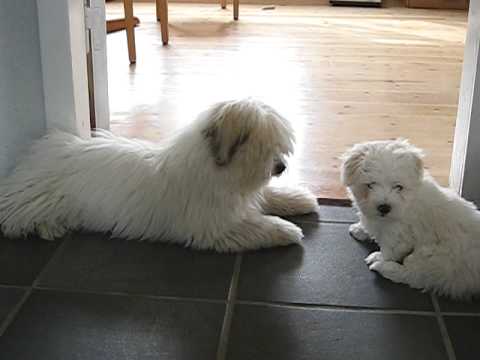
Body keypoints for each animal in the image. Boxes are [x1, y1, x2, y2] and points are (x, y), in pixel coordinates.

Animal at [0, 97, 318, 252]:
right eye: (261, 146)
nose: (281, 167)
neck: (215, 169)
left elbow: (271, 196)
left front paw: (301, 199)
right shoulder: (216, 227)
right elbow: (257, 227)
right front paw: (287, 230)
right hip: (35, 201)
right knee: (12, 220)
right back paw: (48, 227)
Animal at [342, 139, 480, 300]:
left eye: (398, 187)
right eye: (370, 185)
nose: (384, 207)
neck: (407, 202)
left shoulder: (399, 235)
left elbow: (390, 250)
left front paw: (381, 257)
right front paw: (359, 229)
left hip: (435, 258)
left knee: (414, 276)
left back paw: (383, 266)